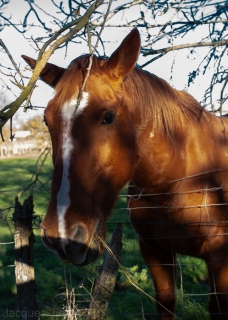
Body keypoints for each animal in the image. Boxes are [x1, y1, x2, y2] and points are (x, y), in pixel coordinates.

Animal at [22, 28, 228, 318]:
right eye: (47, 121)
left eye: (108, 117)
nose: (60, 234)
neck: (178, 181)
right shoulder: (154, 251)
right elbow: (166, 303)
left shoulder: (219, 256)